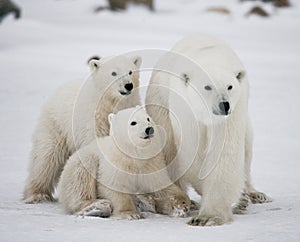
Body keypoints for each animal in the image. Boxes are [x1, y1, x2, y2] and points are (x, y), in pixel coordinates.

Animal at [145, 35, 272, 226]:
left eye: (229, 86)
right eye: (207, 87)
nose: (224, 105)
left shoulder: (232, 115)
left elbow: (224, 154)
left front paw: (208, 217)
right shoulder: (186, 110)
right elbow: (192, 153)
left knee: (247, 150)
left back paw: (254, 194)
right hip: (160, 103)